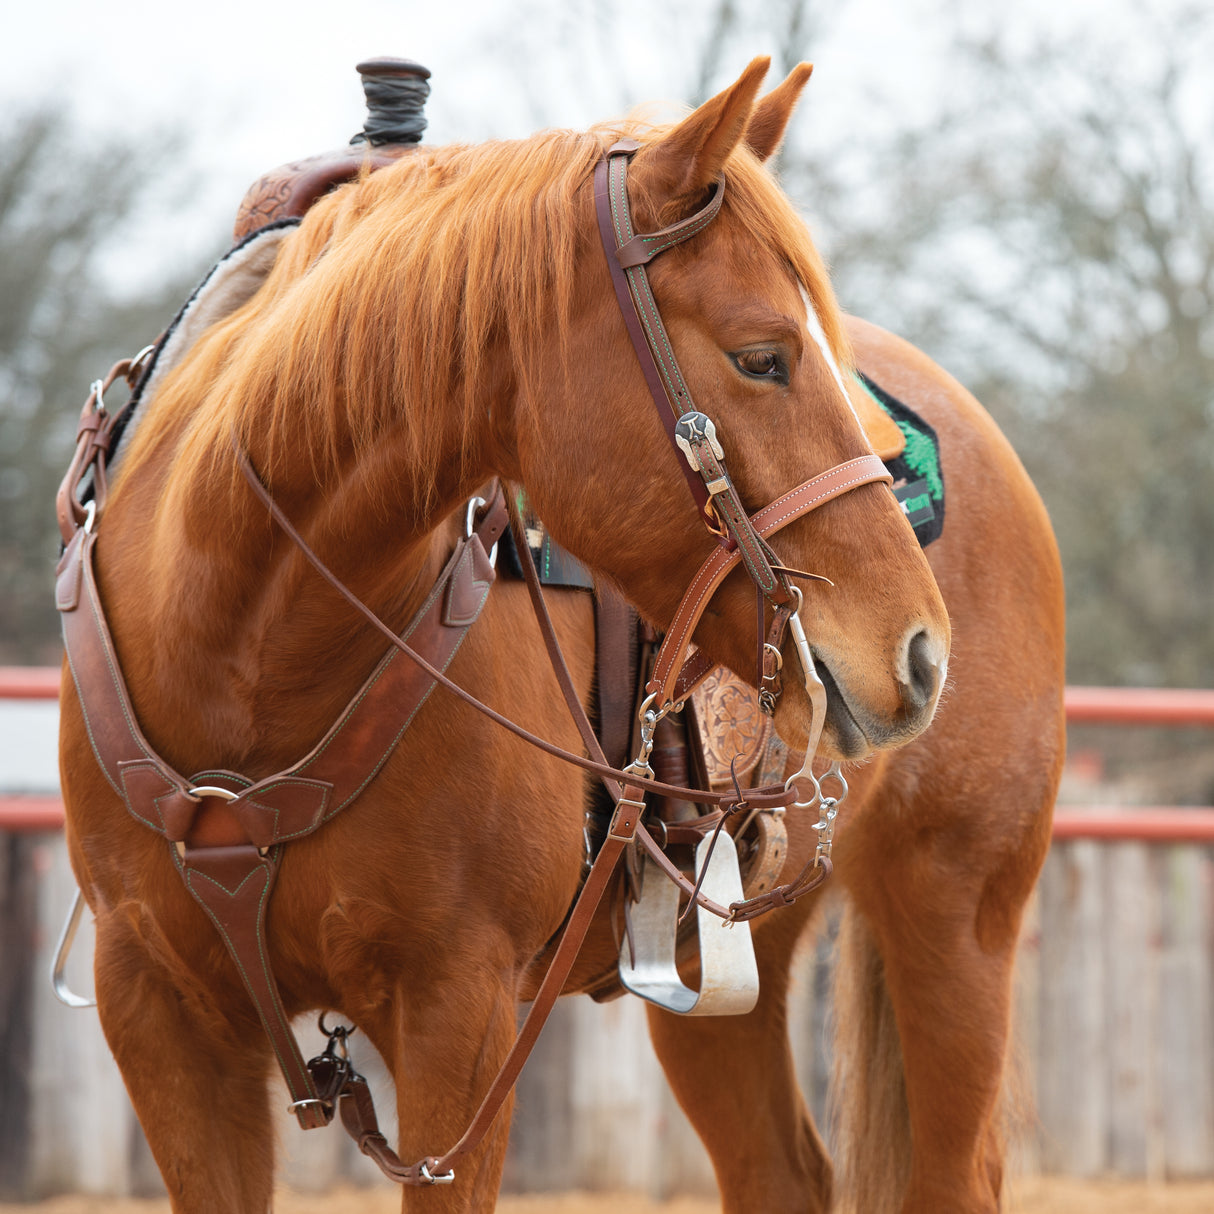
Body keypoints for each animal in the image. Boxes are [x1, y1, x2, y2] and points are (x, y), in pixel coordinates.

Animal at [57, 59, 1063, 1214]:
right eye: (762, 357)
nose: (918, 651)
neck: (242, 652)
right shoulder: (158, 1013)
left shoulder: (460, 1011)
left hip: (956, 915)